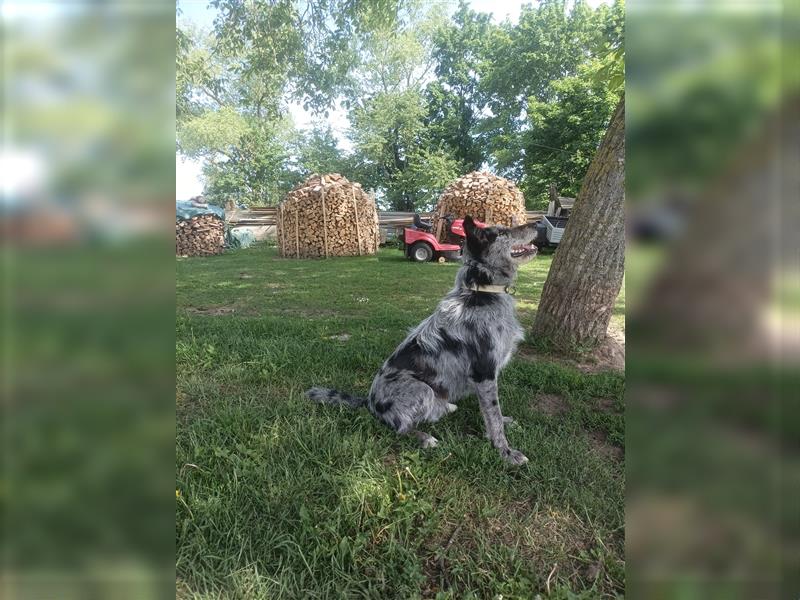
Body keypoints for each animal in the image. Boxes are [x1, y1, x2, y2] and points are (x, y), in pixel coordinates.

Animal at [306, 214, 536, 464]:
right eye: (502, 233)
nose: (536, 224)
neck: (481, 291)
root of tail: (368, 401)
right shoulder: (484, 372)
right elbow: (493, 415)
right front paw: (505, 452)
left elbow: (491, 413)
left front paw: (503, 426)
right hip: (422, 390)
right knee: (400, 428)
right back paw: (425, 438)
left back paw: (446, 408)